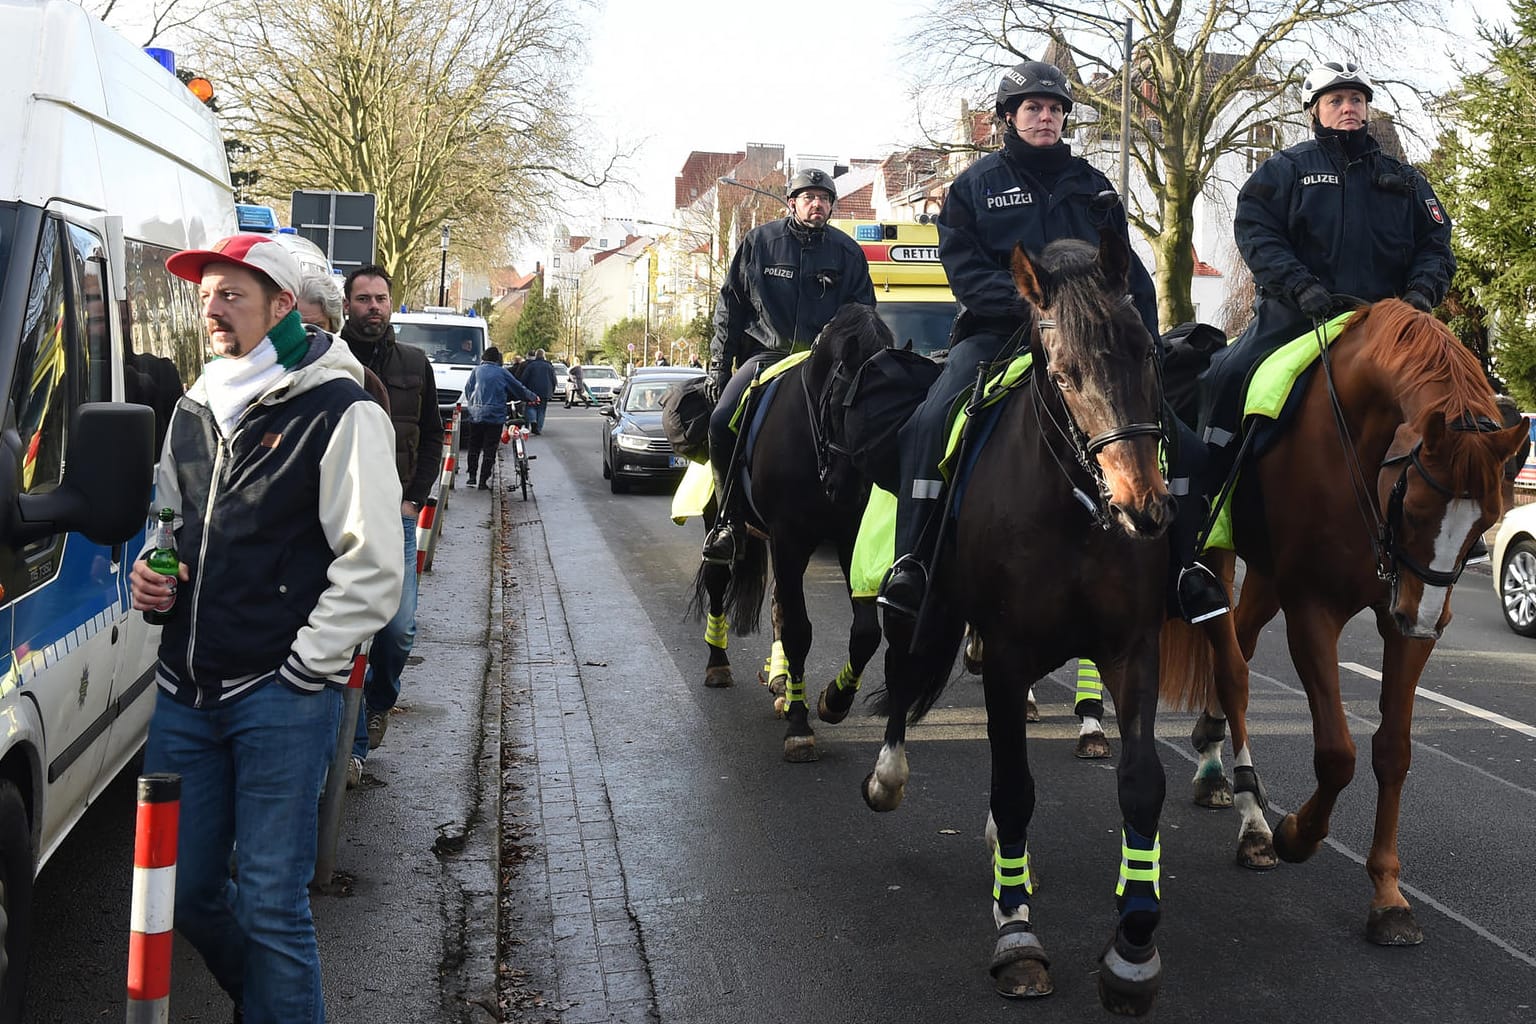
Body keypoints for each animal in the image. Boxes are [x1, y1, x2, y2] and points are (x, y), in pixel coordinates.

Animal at [694, 302, 897, 761]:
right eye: (842, 404)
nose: (848, 490)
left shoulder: (848, 539)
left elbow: (865, 632)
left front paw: (833, 700)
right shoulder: (788, 539)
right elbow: (799, 631)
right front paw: (800, 726)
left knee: (777, 605)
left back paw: (782, 684)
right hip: (727, 526)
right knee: (718, 580)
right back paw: (718, 664)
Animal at [854, 234, 1173, 1019]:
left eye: (1147, 355)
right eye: (1062, 373)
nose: (1144, 507)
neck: (1074, 507)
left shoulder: (1132, 650)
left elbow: (1141, 783)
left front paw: (1134, 945)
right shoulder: (1004, 655)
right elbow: (1013, 788)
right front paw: (1017, 934)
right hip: (924, 607)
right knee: (904, 679)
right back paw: (888, 777)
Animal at [1161, 300, 1523, 951]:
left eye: (1487, 519)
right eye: (1415, 508)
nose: (1423, 618)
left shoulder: (1401, 622)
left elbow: (1393, 751)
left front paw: (1387, 894)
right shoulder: (1313, 611)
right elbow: (1337, 753)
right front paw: (1296, 834)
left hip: (1268, 580)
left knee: (1243, 646)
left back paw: (1211, 760)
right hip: (1221, 558)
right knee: (1233, 671)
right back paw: (1253, 821)